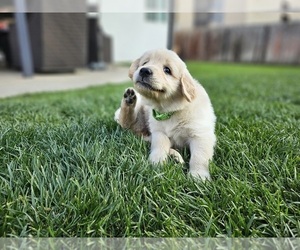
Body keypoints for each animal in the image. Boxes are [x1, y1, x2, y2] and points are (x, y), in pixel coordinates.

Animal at [114, 48, 216, 180]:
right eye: (145, 63)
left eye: (167, 70)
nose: (144, 70)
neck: (170, 110)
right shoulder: (159, 132)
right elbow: (160, 147)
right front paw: (156, 164)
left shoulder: (200, 135)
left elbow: (199, 157)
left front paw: (198, 177)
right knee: (126, 122)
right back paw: (129, 99)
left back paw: (175, 157)